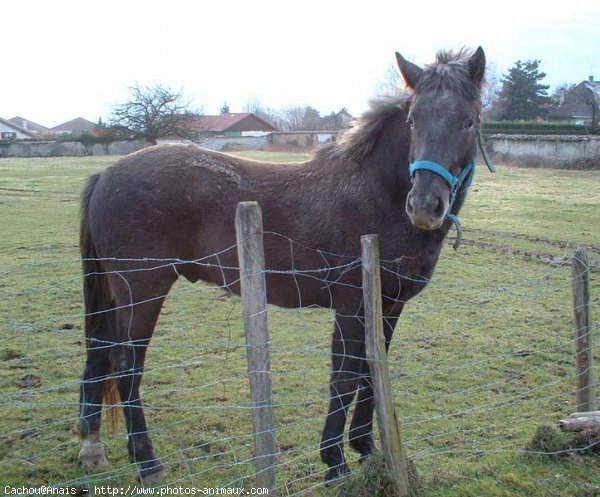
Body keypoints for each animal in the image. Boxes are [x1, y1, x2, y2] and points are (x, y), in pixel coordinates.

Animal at [75, 48, 488, 482]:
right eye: (413, 121)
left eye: (468, 120)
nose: (425, 206)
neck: (376, 193)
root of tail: (106, 174)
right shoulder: (352, 306)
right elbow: (345, 375)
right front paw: (334, 461)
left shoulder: (389, 307)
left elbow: (373, 371)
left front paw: (366, 448)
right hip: (142, 292)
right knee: (125, 364)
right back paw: (147, 461)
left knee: (100, 352)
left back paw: (92, 447)